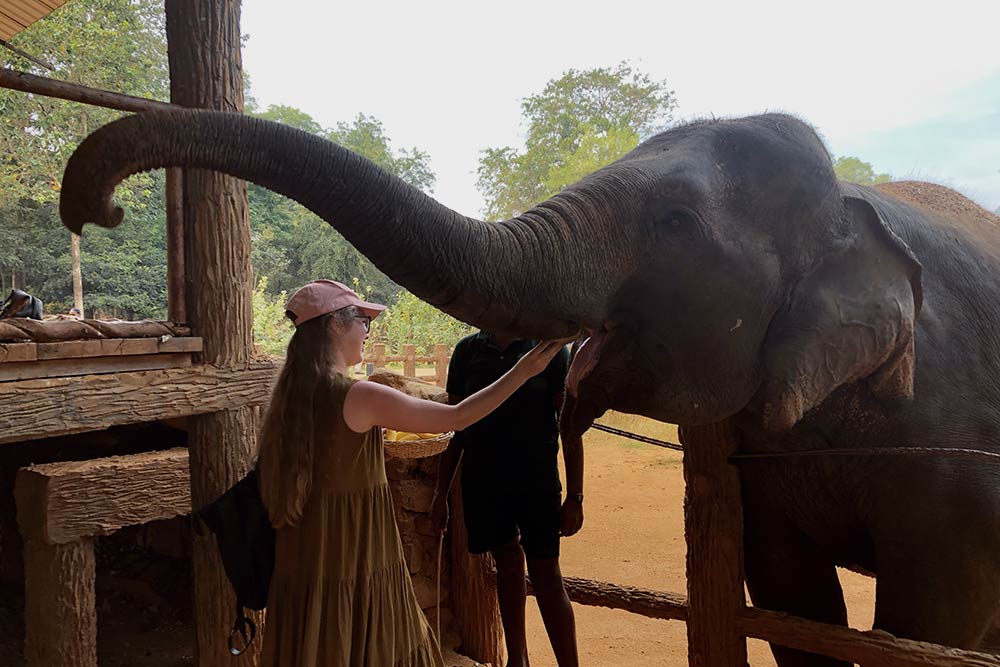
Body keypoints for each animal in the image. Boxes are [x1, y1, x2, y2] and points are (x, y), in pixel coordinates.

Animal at [60, 109, 1000, 664]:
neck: (852, 202)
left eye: (675, 223)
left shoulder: (956, 456)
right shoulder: (762, 462)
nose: (93, 209)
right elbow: (793, 600)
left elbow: (930, 620)